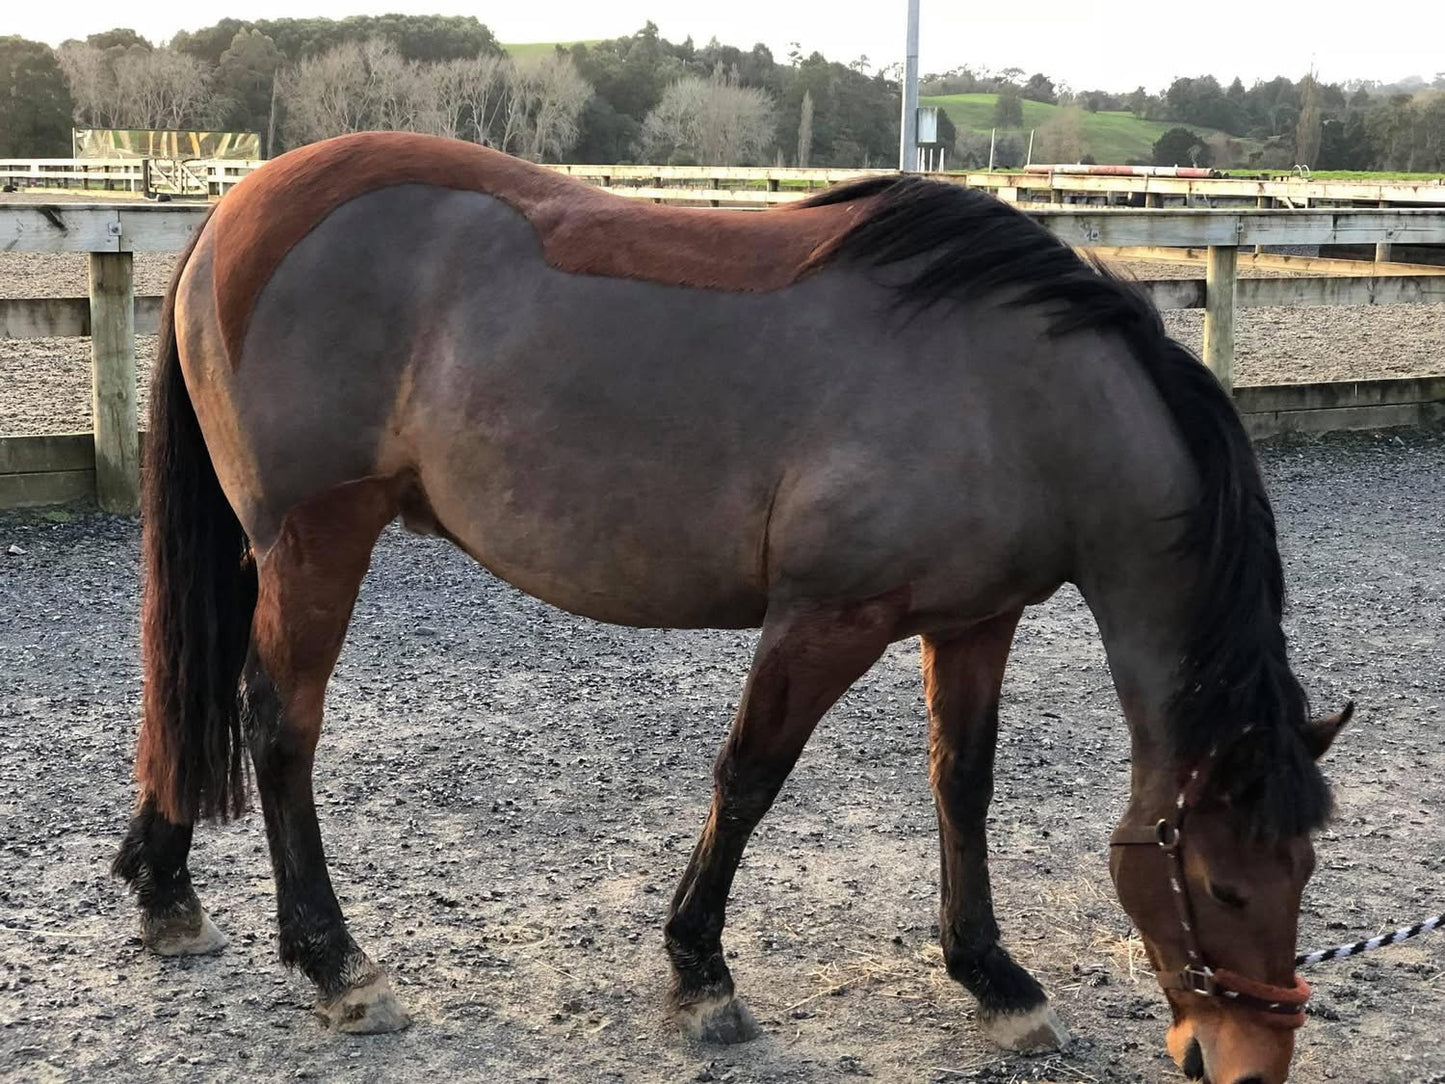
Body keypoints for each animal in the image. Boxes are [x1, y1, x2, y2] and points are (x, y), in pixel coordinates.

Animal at [112, 131, 1351, 1084]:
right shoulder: (826, 618)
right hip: (319, 541)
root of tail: (234, 212)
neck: (1017, 394)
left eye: (1303, 874)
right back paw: (337, 964)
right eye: (1223, 882)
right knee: (277, 723)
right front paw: (700, 974)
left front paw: (991, 976)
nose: (1248, 1062)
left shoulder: (971, 623)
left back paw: (165, 890)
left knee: (194, 694)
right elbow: (748, 778)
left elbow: (961, 786)